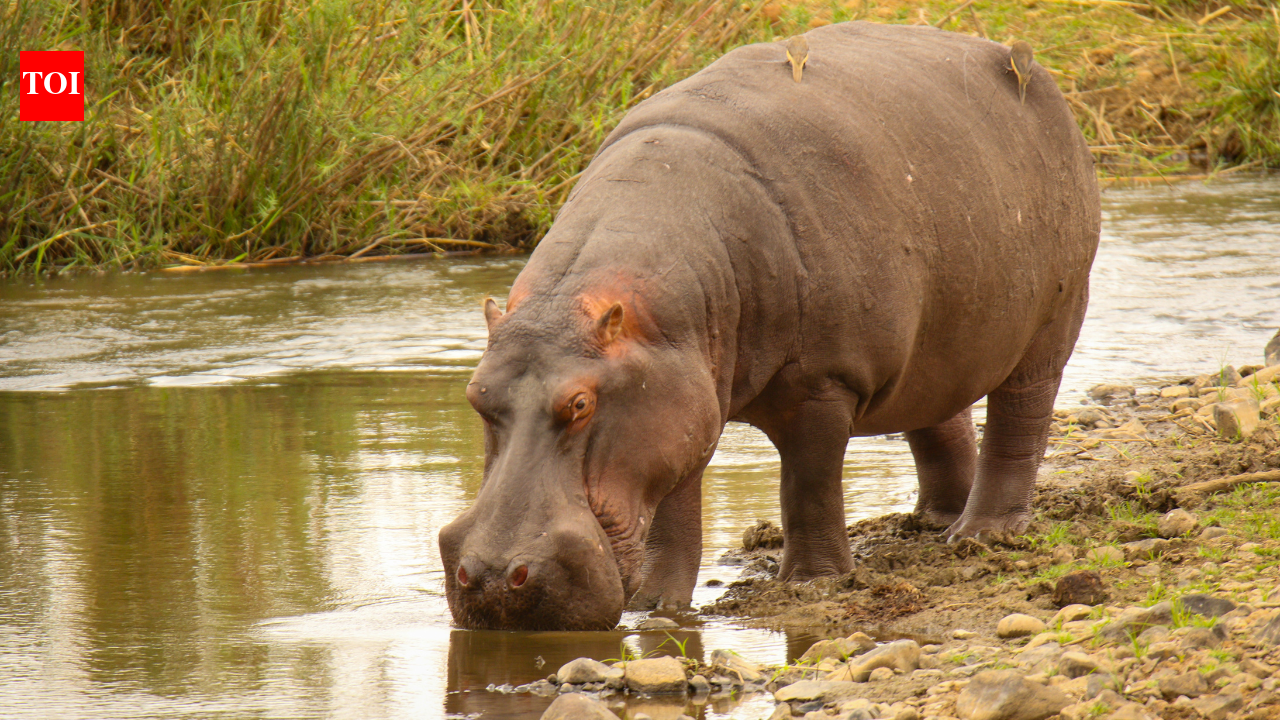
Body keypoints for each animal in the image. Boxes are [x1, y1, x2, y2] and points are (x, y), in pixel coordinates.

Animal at [438, 21, 1101, 631]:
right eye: (475, 395)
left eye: (579, 404)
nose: (491, 577)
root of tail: (1035, 76)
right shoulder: (681, 397)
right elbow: (674, 506)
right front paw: (656, 606)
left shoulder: (823, 381)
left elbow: (808, 485)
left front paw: (811, 582)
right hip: (939, 341)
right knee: (940, 413)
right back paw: (936, 520)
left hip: (1051, 322)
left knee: (1019, 419)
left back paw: (981, 535)